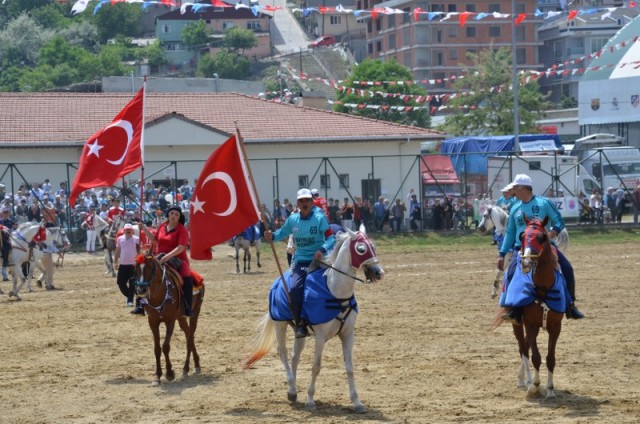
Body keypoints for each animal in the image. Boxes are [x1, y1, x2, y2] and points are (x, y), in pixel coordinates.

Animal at [135, 253, 205, 386]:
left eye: (151, 268)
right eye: (135, 267)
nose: (141, 290)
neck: (159, 294)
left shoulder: (170, 321)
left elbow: (166, 346)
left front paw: (169, 373)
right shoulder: (152, 322)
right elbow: (157, 348)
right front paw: (157, 376)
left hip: (195, 313)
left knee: (189, 339)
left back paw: (186, 369)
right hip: (181, 318)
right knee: (189, 335)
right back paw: (196, 364)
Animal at [245, 225, 384, 414]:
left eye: (373, 246)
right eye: (361, 249)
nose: (379, 272)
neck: (334, 291)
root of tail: (277, 282)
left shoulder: (348, 335)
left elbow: (349, 368)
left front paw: (357, 402)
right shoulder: (320, 337)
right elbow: (316, 367)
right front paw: (310, 400)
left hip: (300, 332)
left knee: (295, 356)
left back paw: (292, 391)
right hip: (280, 324)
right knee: (283, 353)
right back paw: (291, 387)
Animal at [502, 217, 564, 400]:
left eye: (542, 237)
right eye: (522, 237)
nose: (526, 262)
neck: (543, 289)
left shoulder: (555, 327)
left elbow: (550, 358)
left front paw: (550, 389)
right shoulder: (530, 325)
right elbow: (535, 357)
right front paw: (535, 386)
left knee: (526, 346)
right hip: (517, 323)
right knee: (523, 349)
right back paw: (527, 382)